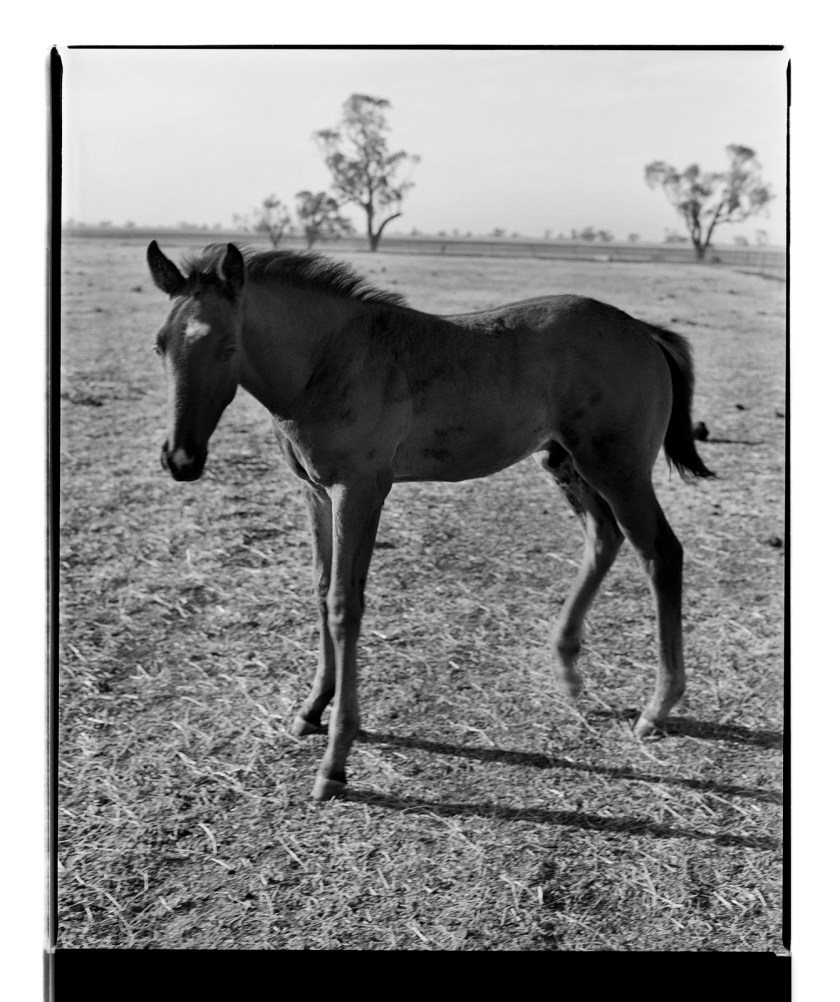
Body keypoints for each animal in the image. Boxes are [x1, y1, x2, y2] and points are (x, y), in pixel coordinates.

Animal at [147, 240, 714, 801]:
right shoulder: (315, 492)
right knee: (603, 538)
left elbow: (344, 605)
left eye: (226, 346)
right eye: (160, 346)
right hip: (564, 461)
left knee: (660, 553)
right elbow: (322, 589)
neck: (329, 360)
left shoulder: (360, 490)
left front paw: (336, 759)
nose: (181, 459)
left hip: (617, 469)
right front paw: (311, 709)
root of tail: (643, 331)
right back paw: (567, 670)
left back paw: (657, 707)